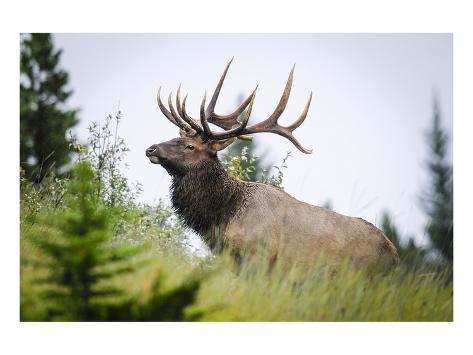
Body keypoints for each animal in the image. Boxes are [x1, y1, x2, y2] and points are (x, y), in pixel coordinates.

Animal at [145, 59, 398, 272]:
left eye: (190, 146)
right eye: (174, 136)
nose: (151, 149)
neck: (222, 217)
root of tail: (394, 254)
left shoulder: (259, 256)